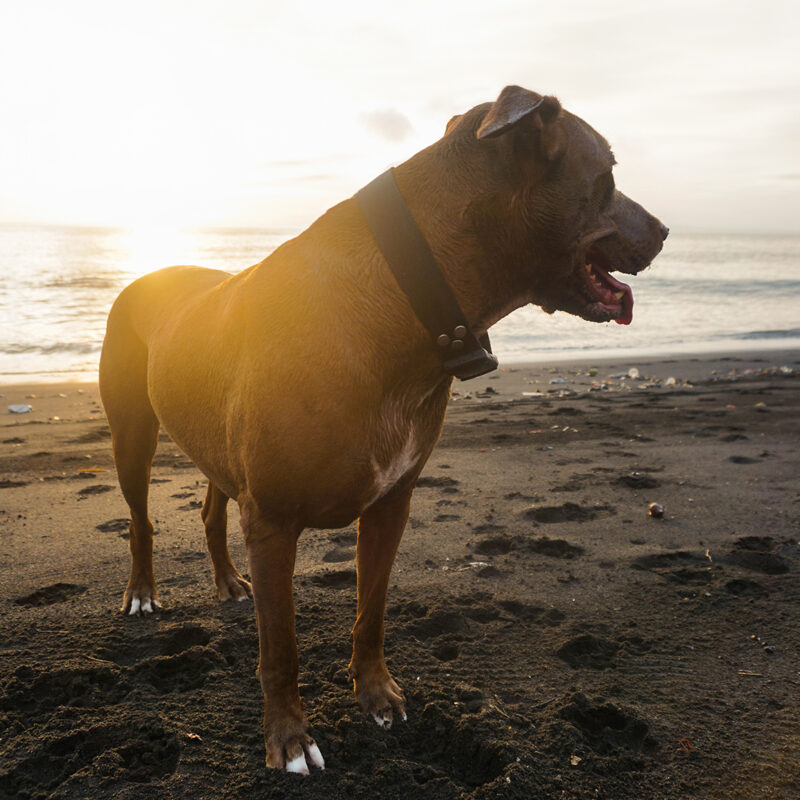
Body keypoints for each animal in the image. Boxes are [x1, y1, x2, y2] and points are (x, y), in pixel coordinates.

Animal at [100, 86, 664, 776]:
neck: (407, 297)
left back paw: (229, 582)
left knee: (210, 507)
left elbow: (371, 610)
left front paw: (375, 695)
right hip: (133, 432)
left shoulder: (393, 500)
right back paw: (143, 593)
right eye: (607, 174)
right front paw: (289, 736)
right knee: (141, 521)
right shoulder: (273, 519)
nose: (664, 230)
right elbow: (280, 645)